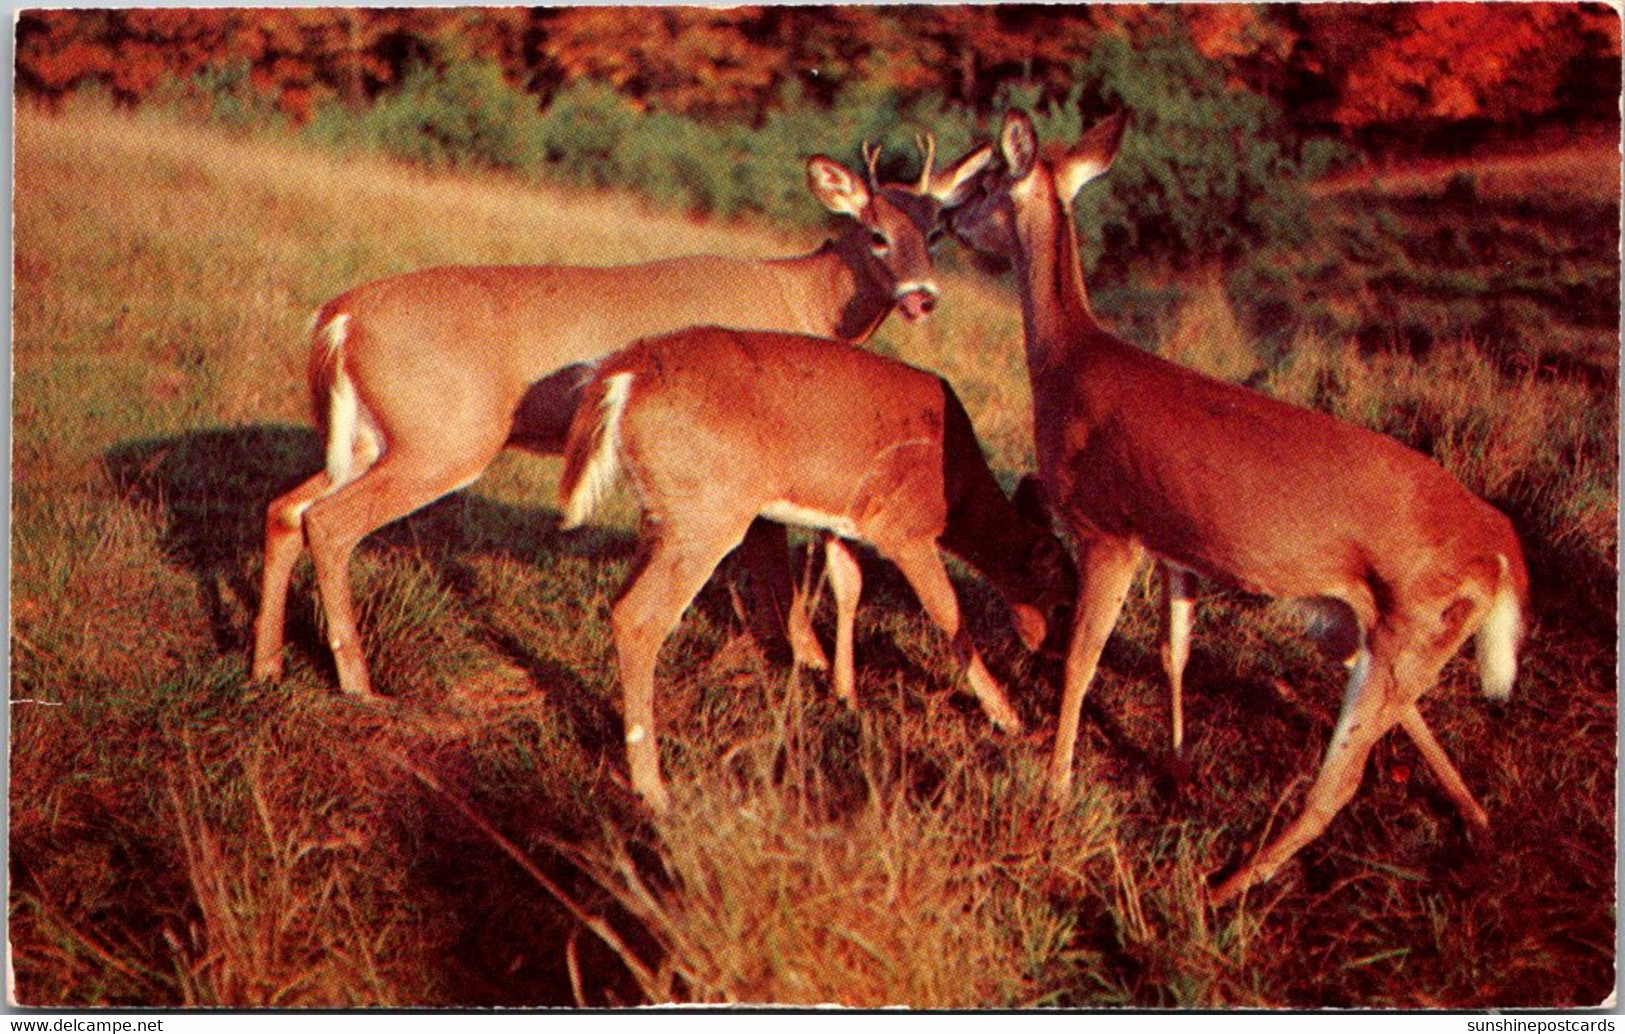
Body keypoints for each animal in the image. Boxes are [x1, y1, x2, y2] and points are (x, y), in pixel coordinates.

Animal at [250, 137, 988, 699]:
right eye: (876, 234)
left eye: (936, 232)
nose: (923, 297)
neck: (801, 302)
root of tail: (339, 317)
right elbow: (770, 561)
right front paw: (807, 664)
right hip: (443, 437)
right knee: (331, 522)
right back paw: (359, 685)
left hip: (372, 437)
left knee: (286, 507)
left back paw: (265, 665)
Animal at [559, 326, 1079, 812]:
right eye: (1063, 605)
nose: (1056, 655)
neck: (958, 495)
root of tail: (626, 370)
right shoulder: (905, 531)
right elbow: (949, 614)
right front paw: (1008, 716)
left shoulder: (843, 523)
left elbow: (850, 588)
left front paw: (845, 691)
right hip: (706, 510)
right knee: (640, 617)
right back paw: (653, 787)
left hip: (663, 514)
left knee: (622, 604)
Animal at [949, 108, 1527, 903]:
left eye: (983, 183)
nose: (943, 216)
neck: (1067, 361)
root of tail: (1501, 547)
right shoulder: (1173, 547)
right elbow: (1176, 650)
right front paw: (1176, 764)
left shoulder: (1107, 532)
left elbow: (1081, 661)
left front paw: (1057, 786)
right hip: (1374, 627)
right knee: (1401, 718)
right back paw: (1476, 822)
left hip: (1406, 624)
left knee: (1338, 784)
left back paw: (1221, 888)